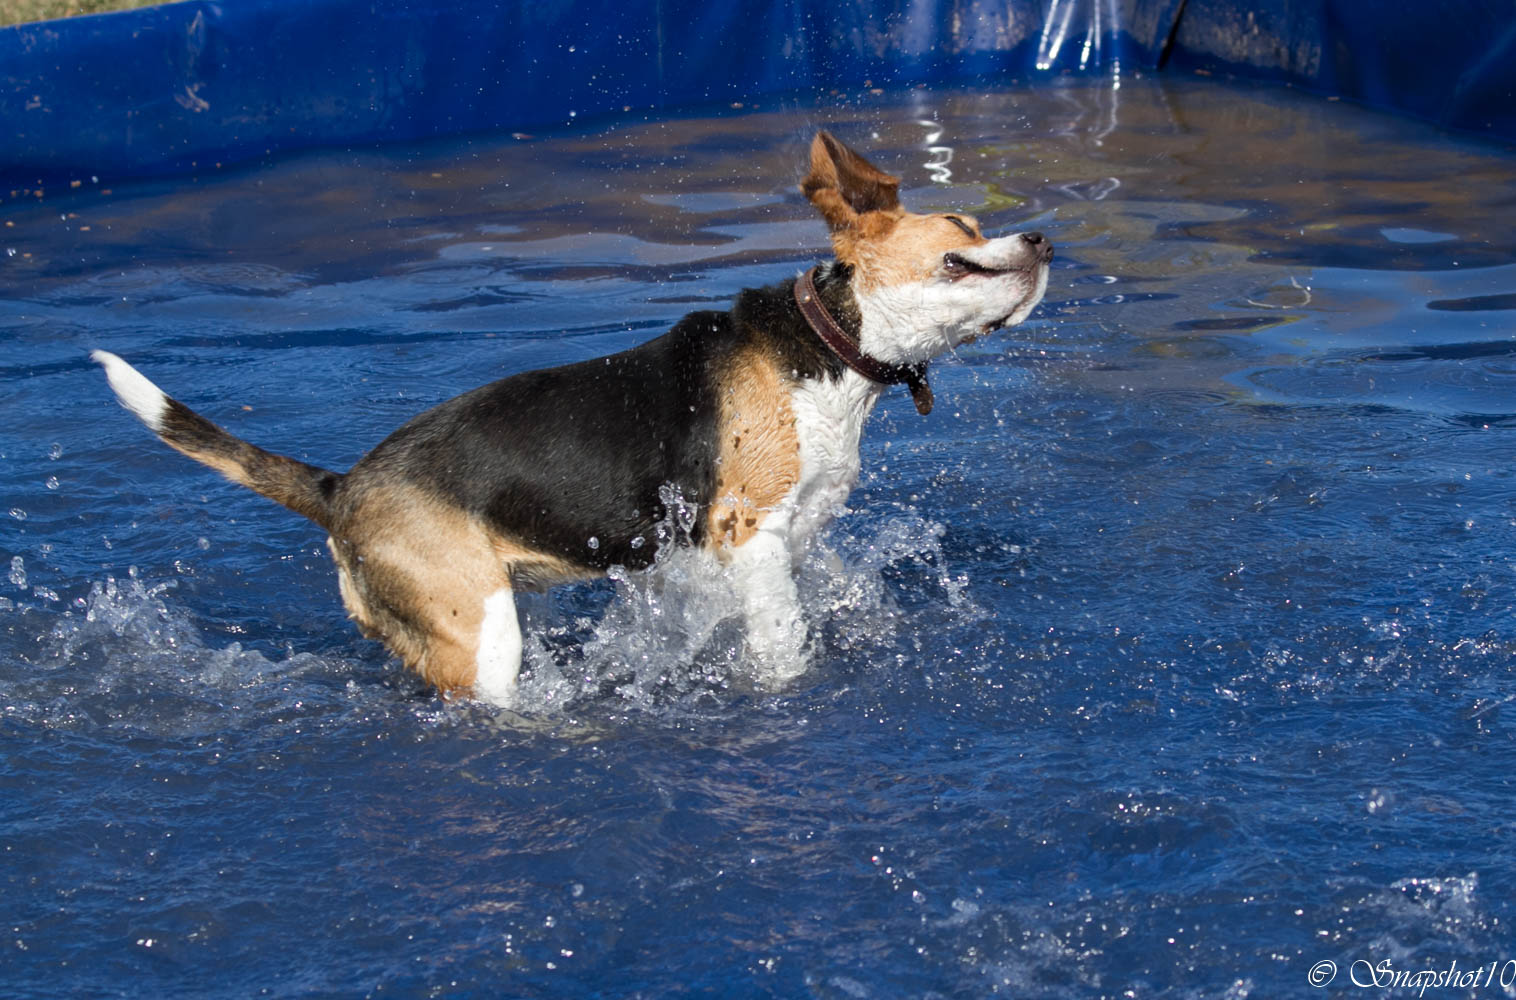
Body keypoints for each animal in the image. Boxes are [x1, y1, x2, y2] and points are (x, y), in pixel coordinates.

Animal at [91, 131, 1043, 703]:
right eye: (961, 227)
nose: (1040, 239)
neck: (825, 344)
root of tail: (342, 488)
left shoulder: (789, 535)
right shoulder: (749, 533)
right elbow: (781, 637)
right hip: (481, 633)